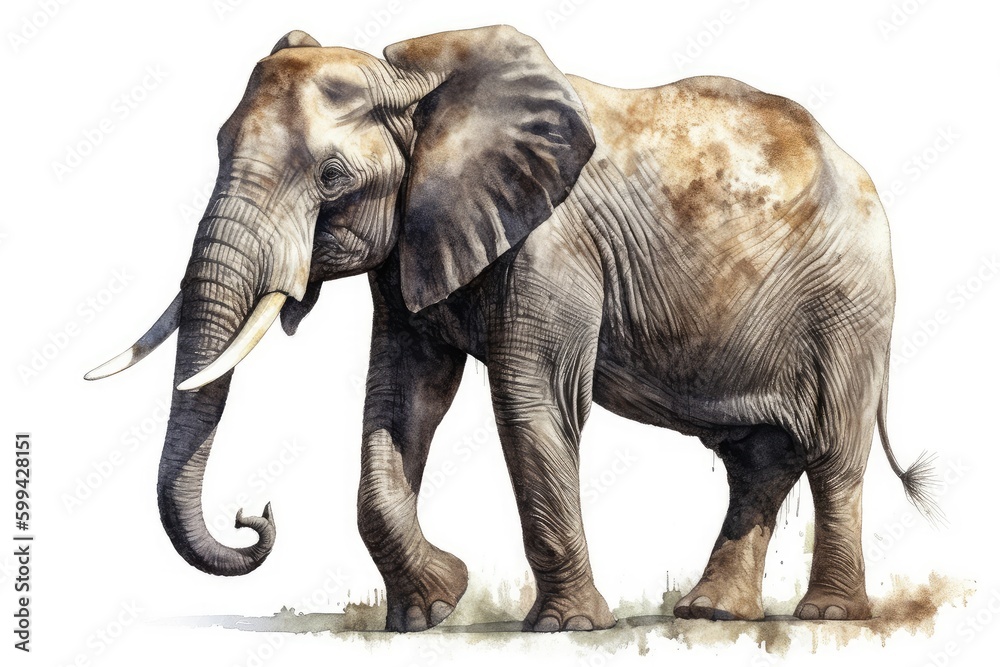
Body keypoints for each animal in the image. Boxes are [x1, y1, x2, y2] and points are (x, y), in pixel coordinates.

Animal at [87, 25, 937, 632]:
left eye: (330, 178)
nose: (254, 516)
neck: (417, 86)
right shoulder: (413, 242)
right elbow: (401, 401)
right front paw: (430, 610)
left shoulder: (554, 241)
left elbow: (531, 400)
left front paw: (564, 628)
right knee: (754, 458)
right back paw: (710, 613)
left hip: (850, 303)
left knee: (831, 450)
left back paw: (826, 614)